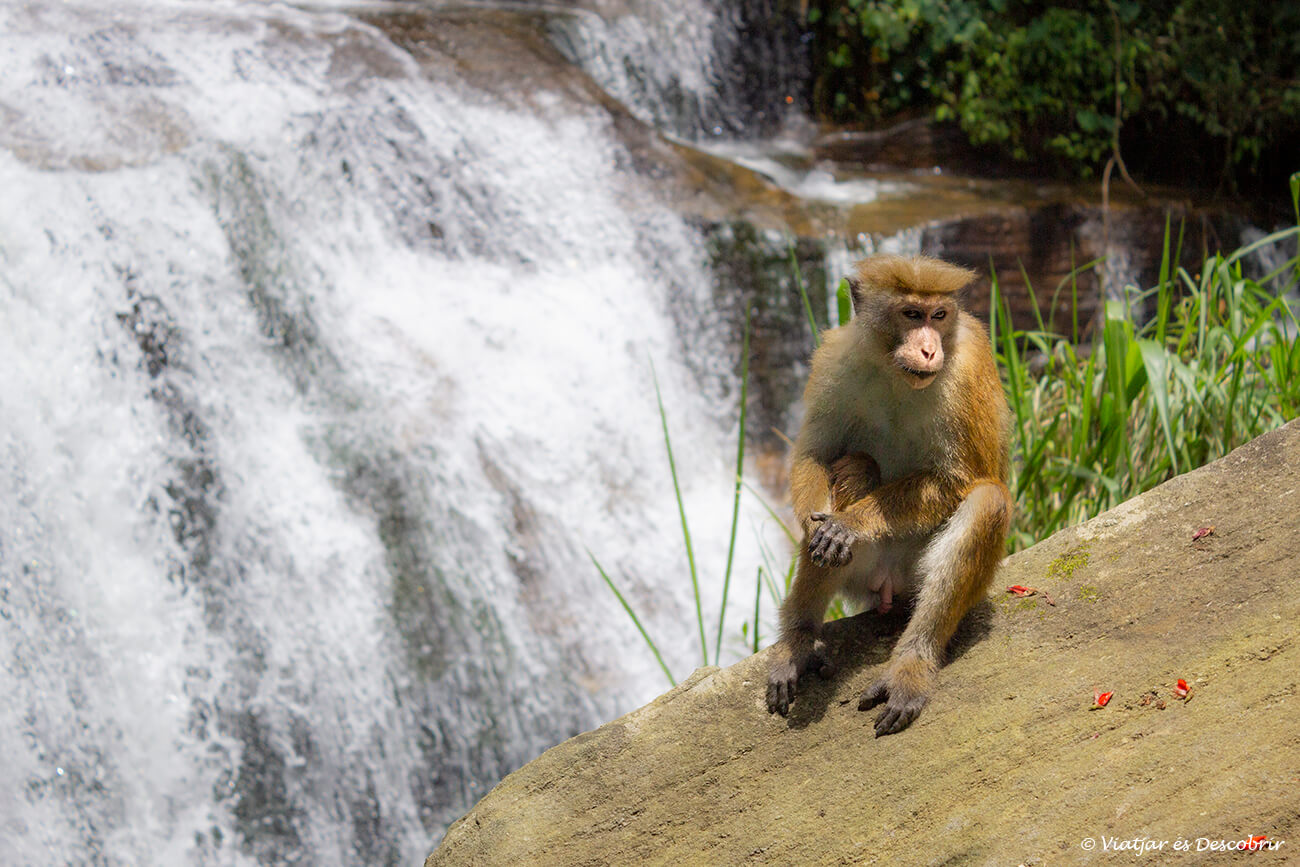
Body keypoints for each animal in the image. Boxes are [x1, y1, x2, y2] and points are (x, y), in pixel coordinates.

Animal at [766, 254, 1012, 736]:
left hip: (914, 574)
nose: (929, 349)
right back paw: (799, 639)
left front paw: (848, 524)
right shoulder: (835, 360)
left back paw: (912, 662)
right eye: (912, 314)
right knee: (854, 465)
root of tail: (888, 587)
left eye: (940, 315)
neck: (897, 376)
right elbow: (815, 454)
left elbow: (960, 478)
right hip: (863, 572)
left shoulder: (967, 369)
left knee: (987, 502)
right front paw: (812, 523)